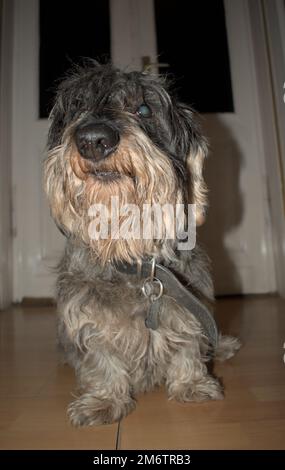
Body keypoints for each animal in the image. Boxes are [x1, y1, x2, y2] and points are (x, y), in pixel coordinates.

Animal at [43, 62, 239, 426]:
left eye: (144, 109)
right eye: (77, 107)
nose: (93, 140)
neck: (129, 252)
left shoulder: (189, 303)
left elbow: (188, 341)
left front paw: (191, 384)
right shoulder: (86, 316)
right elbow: (101, 359)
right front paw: (103, 400)